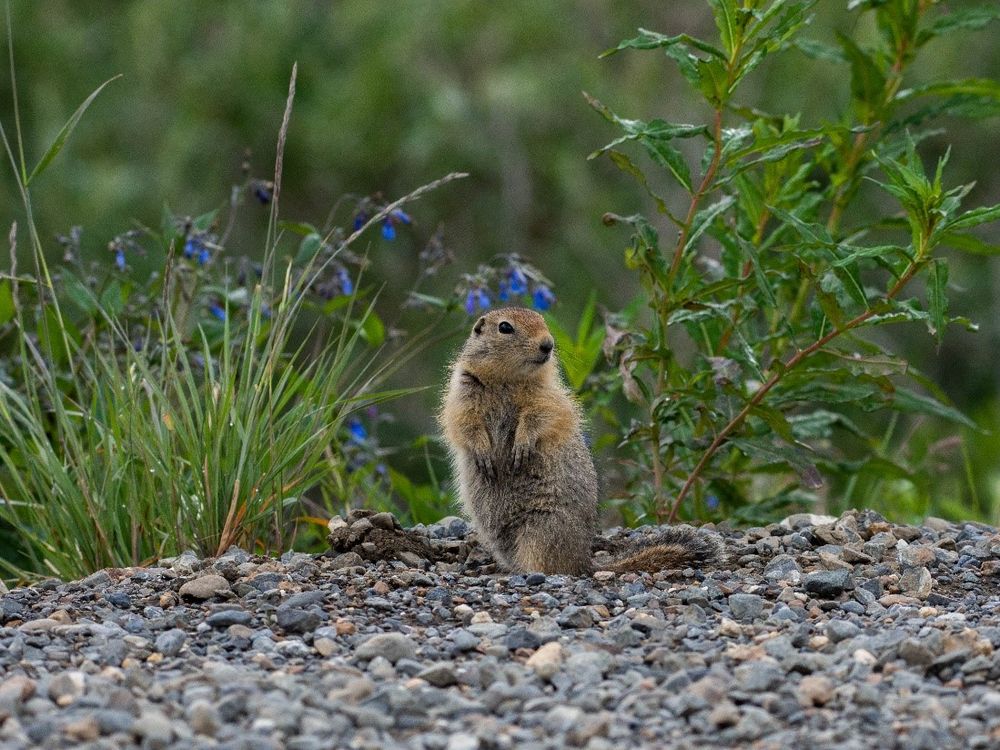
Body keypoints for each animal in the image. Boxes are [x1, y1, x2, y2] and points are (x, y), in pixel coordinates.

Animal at [442, 306, 724, 576]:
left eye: (543, 321)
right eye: (505, 327)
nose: (548, 344)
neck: (506, 379)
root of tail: (584, 561)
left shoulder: (547, 396)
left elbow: (540, 417)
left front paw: (522, 447)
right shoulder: (463, 392)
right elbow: (464, 424)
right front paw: (483, 453)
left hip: (542, 529)